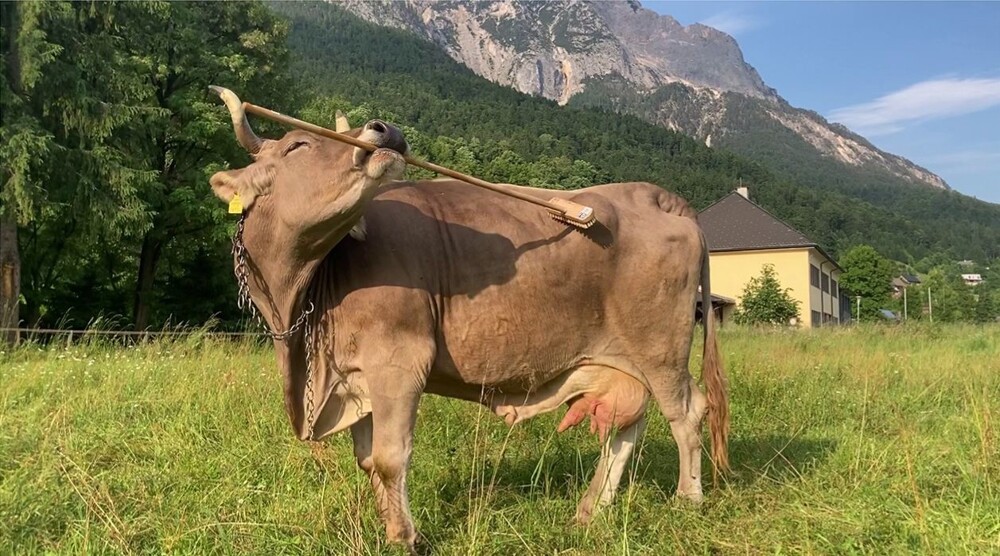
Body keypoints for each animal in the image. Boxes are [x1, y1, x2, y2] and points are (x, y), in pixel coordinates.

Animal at [208, 87, 729, 552]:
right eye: (297, 145)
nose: (385, 129)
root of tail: (653, 195)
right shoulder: (353, 376)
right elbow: (368, 460)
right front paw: (390, 528)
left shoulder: (399, 362)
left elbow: (390, 458)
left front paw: (406, 538)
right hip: (622, 360)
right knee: (628, 424)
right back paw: (590, 510)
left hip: (660, 347)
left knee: (686, 412)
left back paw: (687, 499)